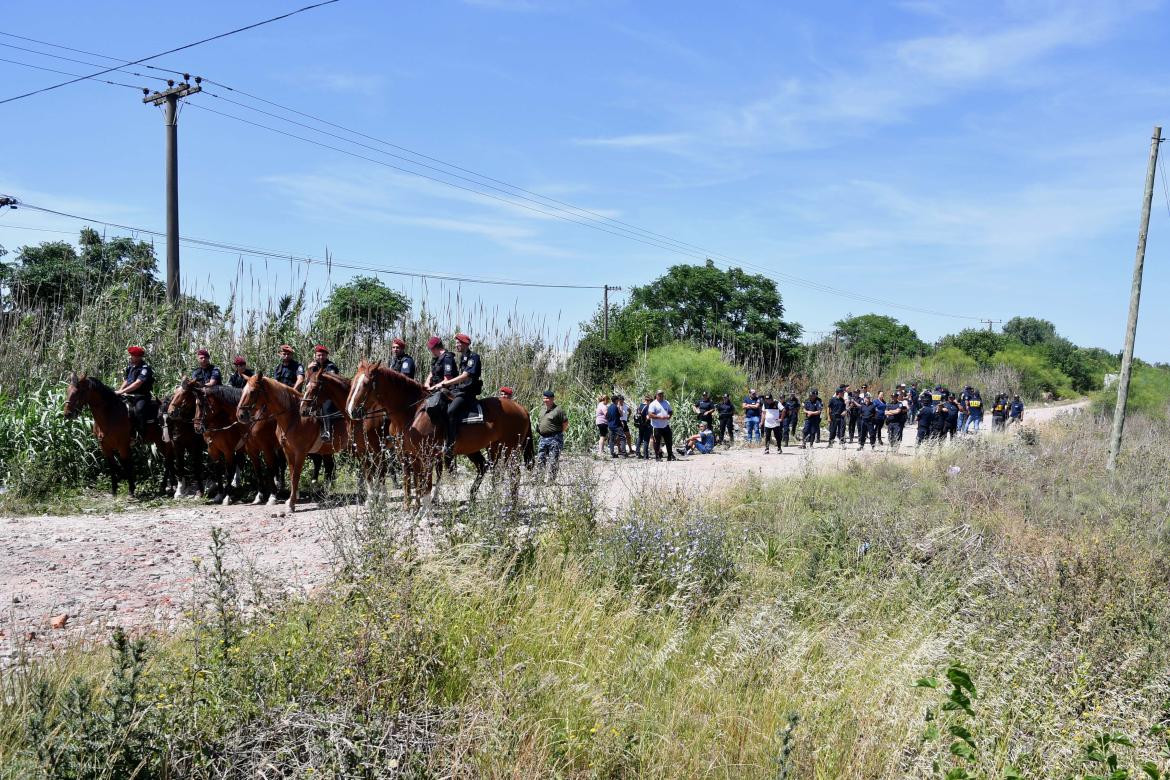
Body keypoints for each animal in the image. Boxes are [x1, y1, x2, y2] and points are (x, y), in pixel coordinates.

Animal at [236, 376, 346, 514]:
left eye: (252, 392)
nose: (240, 415)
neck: (295, 417)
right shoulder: (287, 451)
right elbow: (291, 473)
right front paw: (291, 499)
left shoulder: (298, 452)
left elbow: (294, 476)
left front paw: (290, 503)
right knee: (329, 467)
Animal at [299, 362, 390, 502]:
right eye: (306, 385)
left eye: (315, 388)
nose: (303, 410)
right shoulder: (362, 449)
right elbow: (369, 472)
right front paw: (371, 498)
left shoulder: (377, 448)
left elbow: (380, 471)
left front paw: (381, 497)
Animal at [343, 360, 533, 512]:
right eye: (353, 382)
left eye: (366, 383)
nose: (351, 411)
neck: (413, 412)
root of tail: (522, 408)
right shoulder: (408, 454)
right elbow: (411, 482)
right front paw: (411, 508)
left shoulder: (425, 455)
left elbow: (425, 483)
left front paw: (424, 512)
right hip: (492, 448)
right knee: (489, 470)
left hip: (510, 450)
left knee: (514, 475)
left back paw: (510, 506)